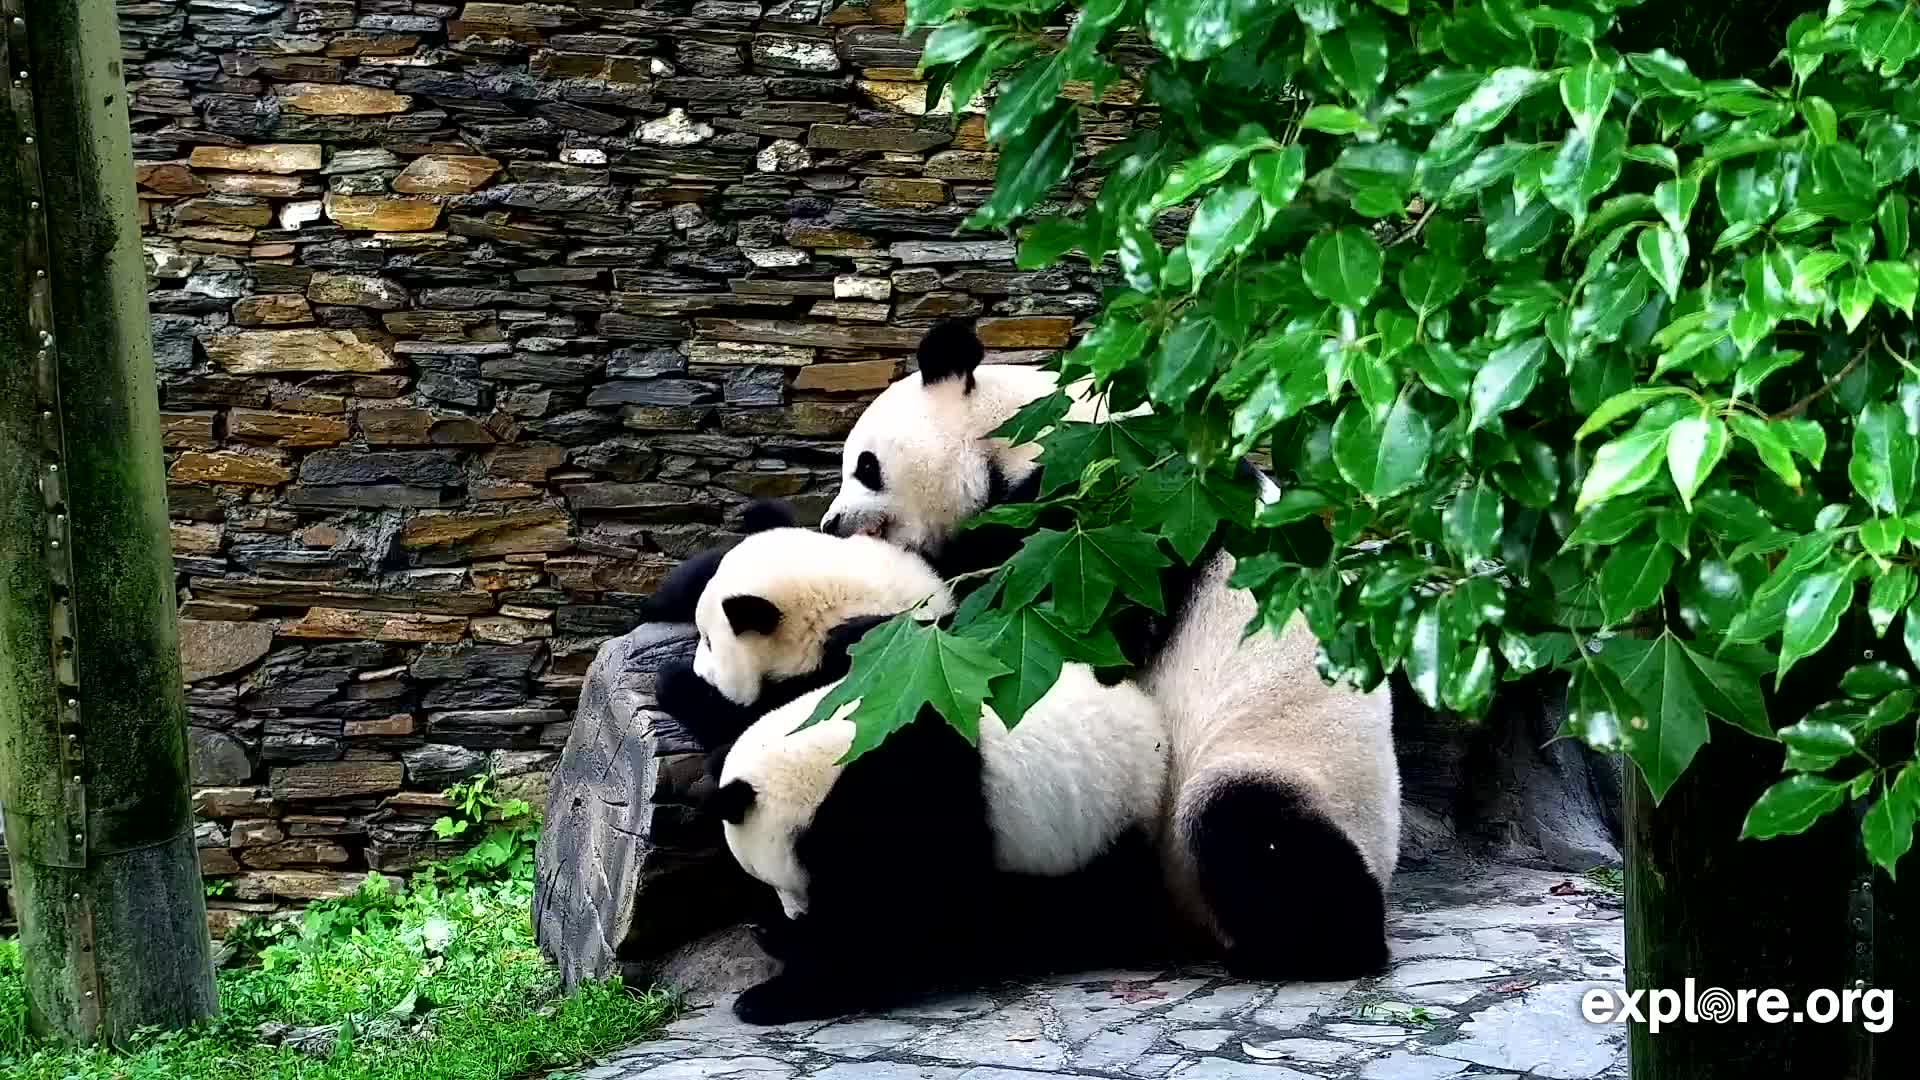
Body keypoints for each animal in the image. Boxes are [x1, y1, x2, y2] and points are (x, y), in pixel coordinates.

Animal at [718, 664, 1175, 1022]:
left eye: (771, 877)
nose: (794, 912)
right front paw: (773, 933)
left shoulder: (905, 789)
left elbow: (891, 914)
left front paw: (772, 995)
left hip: (1110, 811)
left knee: (1087, 901)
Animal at [817, 315, 1405, 980]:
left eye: (866, 467)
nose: (830, 523)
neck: (1027, 431)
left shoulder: (1125, 512)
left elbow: (1073, 632)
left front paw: (862, 632)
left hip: (1292, 768)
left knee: (1250, 833)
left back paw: (1312, 948)